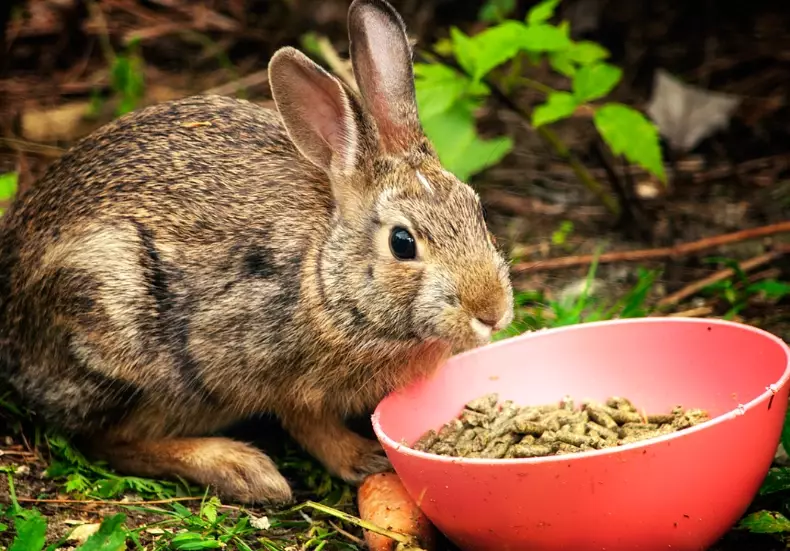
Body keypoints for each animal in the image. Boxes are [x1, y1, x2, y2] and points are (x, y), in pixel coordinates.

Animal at [0, 0, 514, 504]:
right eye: (402, 243)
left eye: (477, 209)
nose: (492, 313)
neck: (324, 276)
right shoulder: (266, 368)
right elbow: (308, 424)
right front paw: (363, 457)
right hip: (117, 328)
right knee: (105, 441)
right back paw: (242, 469)